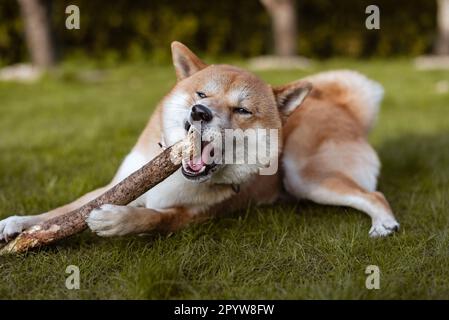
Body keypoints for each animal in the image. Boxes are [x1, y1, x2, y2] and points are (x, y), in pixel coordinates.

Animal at [0, 41, 400, 240]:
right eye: (202, 94)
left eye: (242, 110)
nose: (200, 113)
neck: (174, 175)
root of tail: (345, 109)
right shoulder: (118, 185)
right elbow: (62, 210)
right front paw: (18, 222)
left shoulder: (192, 218)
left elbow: (152, 219)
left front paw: (117, 221)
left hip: (304, 176)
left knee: (375, 195)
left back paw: (384, 224)